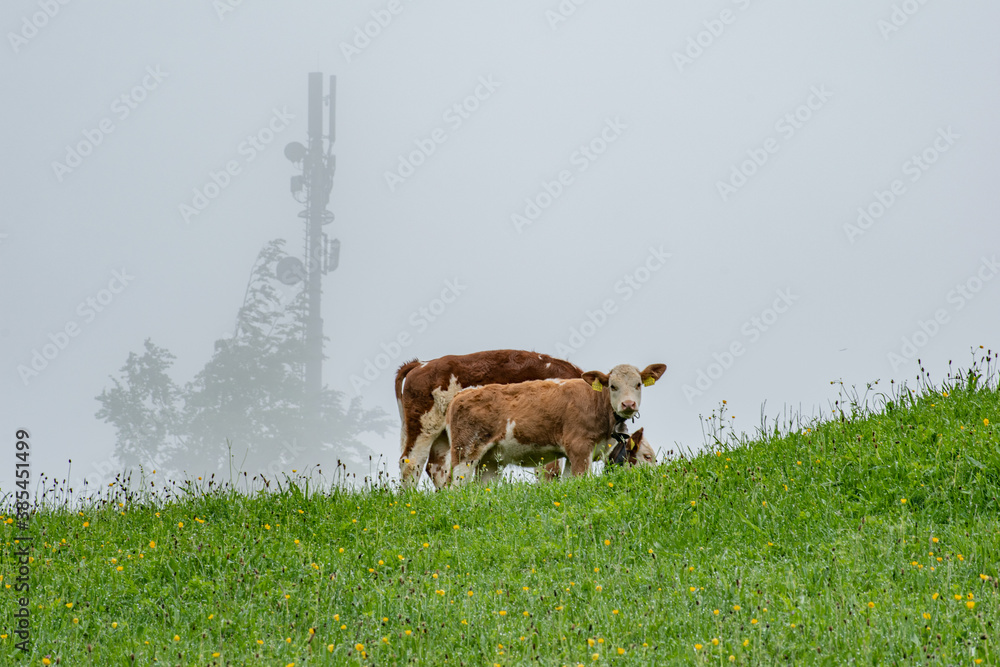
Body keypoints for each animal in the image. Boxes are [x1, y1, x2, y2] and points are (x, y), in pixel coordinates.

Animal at [390, 352, 580, 488]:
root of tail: (422, 364)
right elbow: (549, 470)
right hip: (424, 425)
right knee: (411, 461)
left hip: (444, 434)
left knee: (436, 466)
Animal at [446, 362, 664, 488]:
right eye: (613, 386)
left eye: (638, 384)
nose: (628, 404)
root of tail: (463, 393)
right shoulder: (579, 446)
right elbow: (581, 479)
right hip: (466, 451)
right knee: (455, 487)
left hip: (491, 461)